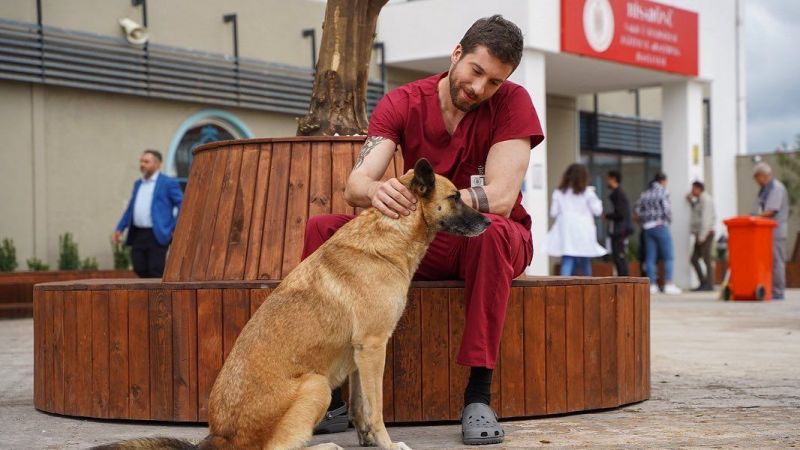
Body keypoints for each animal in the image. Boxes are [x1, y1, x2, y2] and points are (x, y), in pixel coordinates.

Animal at [92, 159, 488, 450]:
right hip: (316, 385)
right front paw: (388, 445)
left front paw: (368, 442)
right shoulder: (374, 347)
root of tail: (220, 439)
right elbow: (376, 410)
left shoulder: (361, 355)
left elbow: (362, 407)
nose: (488, 219)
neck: (390, 232)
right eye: (456, 197)